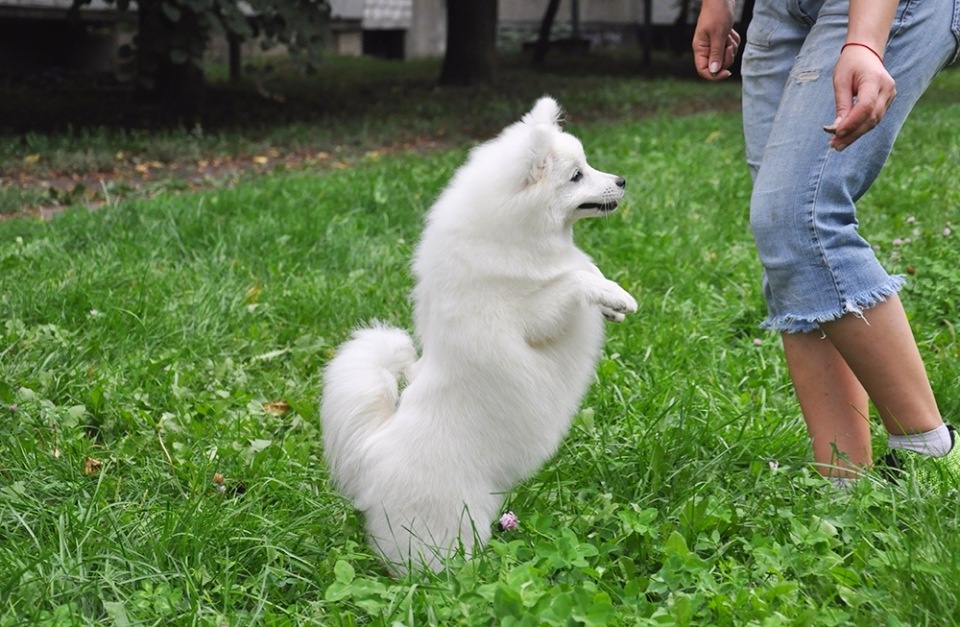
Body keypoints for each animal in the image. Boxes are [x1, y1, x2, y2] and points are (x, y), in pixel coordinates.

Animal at [322, 98, 636, 576]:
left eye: (587, 167)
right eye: (576, 176)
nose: (621, 180)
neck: (511, 237)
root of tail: (372, 452)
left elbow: (585, 268)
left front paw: (611, 303)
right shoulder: (533, 320)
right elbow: (572, 280)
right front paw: (615, 295)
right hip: (447, 525)